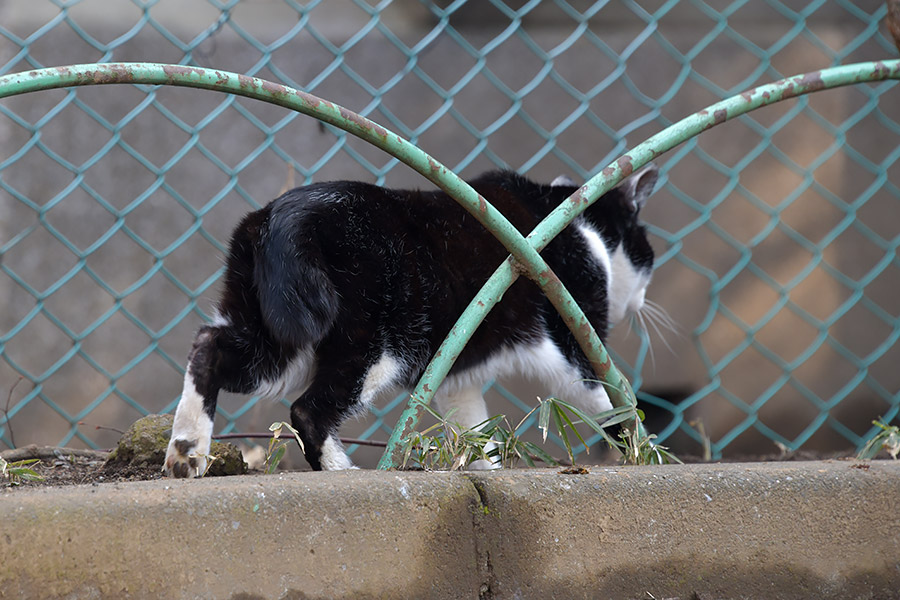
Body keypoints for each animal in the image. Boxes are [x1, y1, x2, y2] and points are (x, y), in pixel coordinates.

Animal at [163, 166, 652, 476]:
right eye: (646, 253)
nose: (644, 298)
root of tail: (281, 218)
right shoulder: (573, 339)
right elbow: (611, 404)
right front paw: (642, 452)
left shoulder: (457, 379)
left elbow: (475, 433)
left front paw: (484, 468)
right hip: (374, 344)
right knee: (308, 411)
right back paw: (342, 472)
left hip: (275, 336)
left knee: (209, 345)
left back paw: (186, 451)